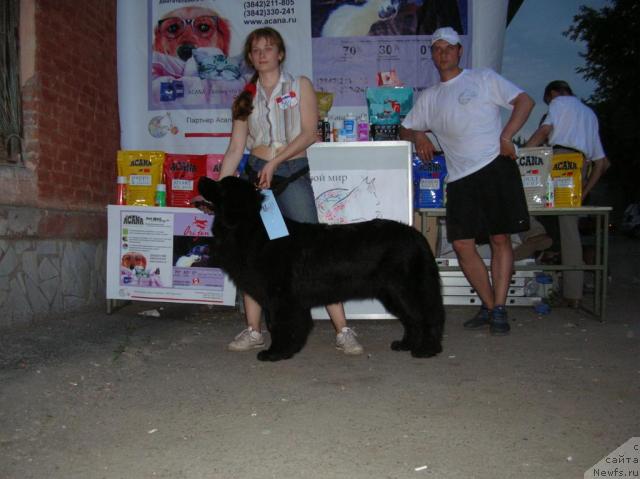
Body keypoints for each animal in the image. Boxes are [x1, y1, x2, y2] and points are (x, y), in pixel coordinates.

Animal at [198, 175, 442, 360]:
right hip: (391, 293)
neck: (249, 229)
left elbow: (278, 325)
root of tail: (416, 235)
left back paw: (426, 350)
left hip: (403, 289)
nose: (202, 179)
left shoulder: (280, 298)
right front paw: (288, 350)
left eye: (220, 186)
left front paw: (275, 353)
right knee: (412, 319)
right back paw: (406, 344)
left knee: (425, 316)